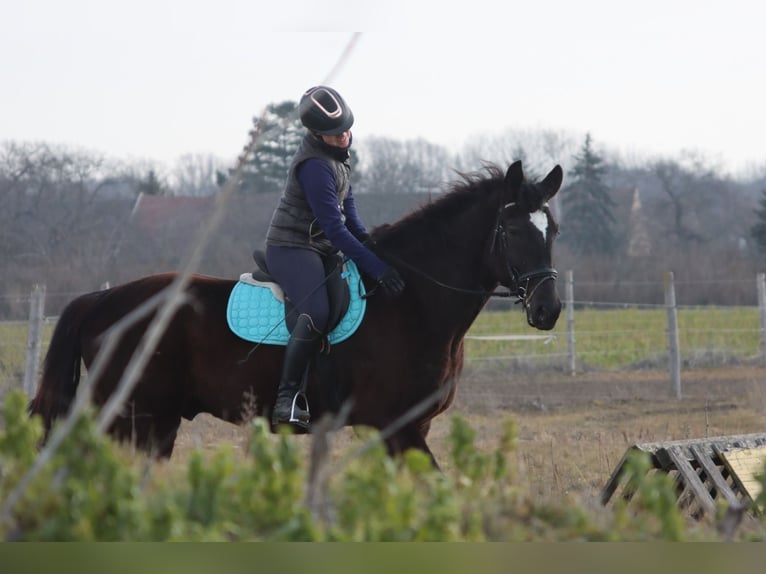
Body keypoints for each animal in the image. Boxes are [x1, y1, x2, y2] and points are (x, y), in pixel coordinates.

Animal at [28, 160, 564, 466]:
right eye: (514, 230)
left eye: (552, 230)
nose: (548, 309)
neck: (411, 300)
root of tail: (102, 300)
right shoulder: (395, 425)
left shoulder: (413, 427)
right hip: (136, 417)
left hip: (150, 423)